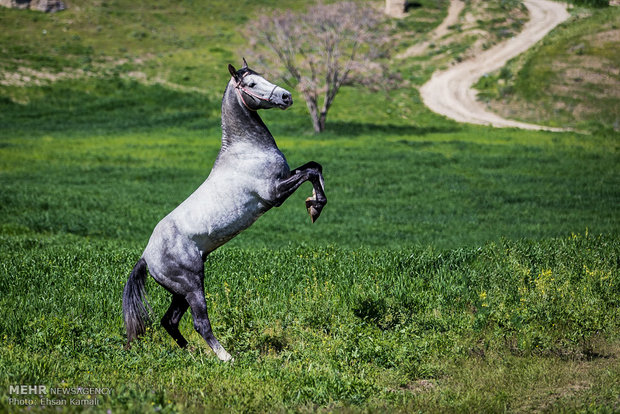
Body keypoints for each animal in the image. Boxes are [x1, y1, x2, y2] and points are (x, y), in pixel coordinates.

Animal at [126, 59, 330, 360]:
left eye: (262, 76)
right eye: (251, 83)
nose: (286, 97)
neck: (247, 150)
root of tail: (146, 257)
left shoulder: (283, 180)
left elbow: (314, 166)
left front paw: (314, 204)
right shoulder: (274, 193)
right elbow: (310, 172)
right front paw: (314, 206)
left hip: (180, 292)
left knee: (169, 321)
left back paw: (191, 353)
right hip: (192, 287)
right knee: (200, 323)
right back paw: (227, 358)